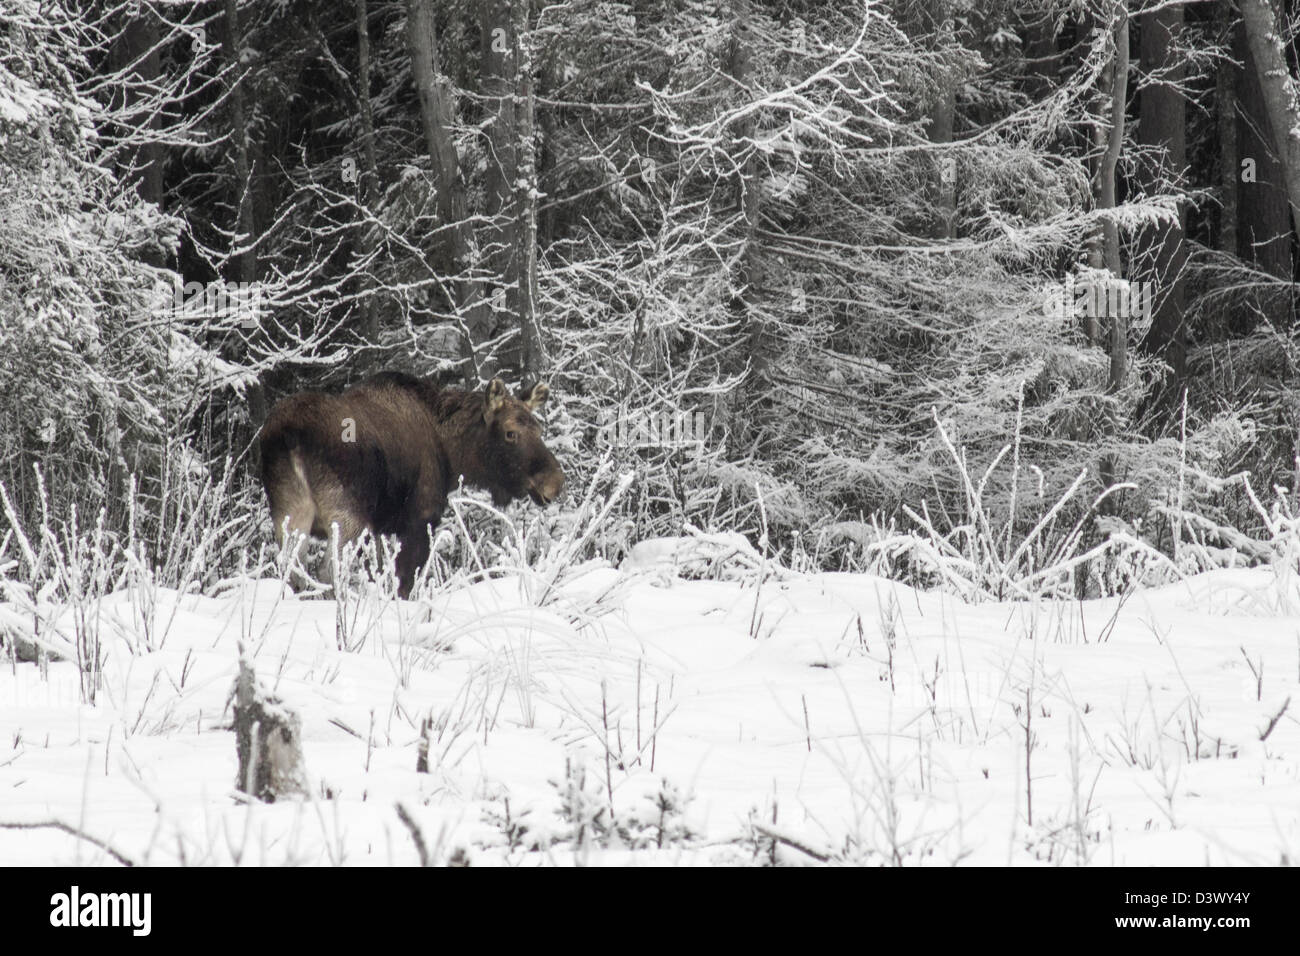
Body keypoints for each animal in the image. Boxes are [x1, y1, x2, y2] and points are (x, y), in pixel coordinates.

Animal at [261, 374, 566, 598]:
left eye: (539, 429)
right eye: (510, 433)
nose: (554, 482)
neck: (451, 454)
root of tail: (287, 434)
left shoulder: (383, 529)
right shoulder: (420, 519)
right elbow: (404, 583)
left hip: (288, 512)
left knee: (293, 572)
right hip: (347, 517)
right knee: (328, 572)